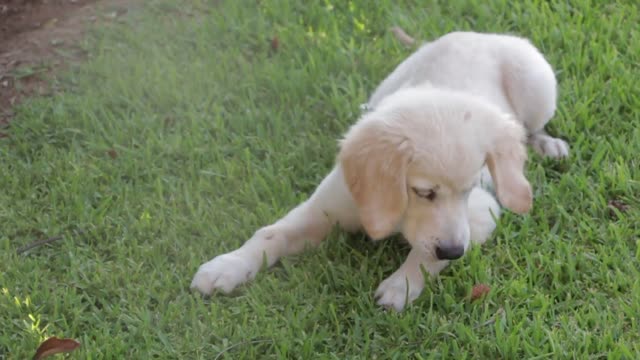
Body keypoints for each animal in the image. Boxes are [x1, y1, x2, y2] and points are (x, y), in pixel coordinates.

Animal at [191, 32, 568, 310]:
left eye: (468, 188)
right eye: (424, 192)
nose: (454, 252)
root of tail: (479, 33)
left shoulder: (480, 211)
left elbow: (425, 254)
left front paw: (401, 285)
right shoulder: (325, 206)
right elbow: (270, 233)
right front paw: (227, 266)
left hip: (537, 84)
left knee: (532, 128)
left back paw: (548, 145)